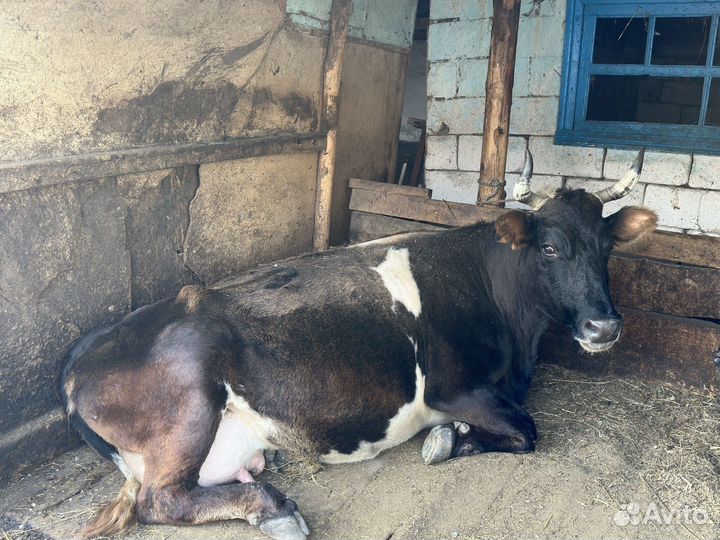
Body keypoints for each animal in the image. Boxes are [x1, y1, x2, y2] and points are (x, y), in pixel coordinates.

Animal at [61, 150, 655, 540]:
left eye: (607, 247)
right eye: (550, 247)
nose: (604, 327)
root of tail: (79, 357)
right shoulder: (453, 388)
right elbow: (526, 431)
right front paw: (448, 440)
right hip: (190, 403)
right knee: (159, 500)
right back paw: (275, 510)